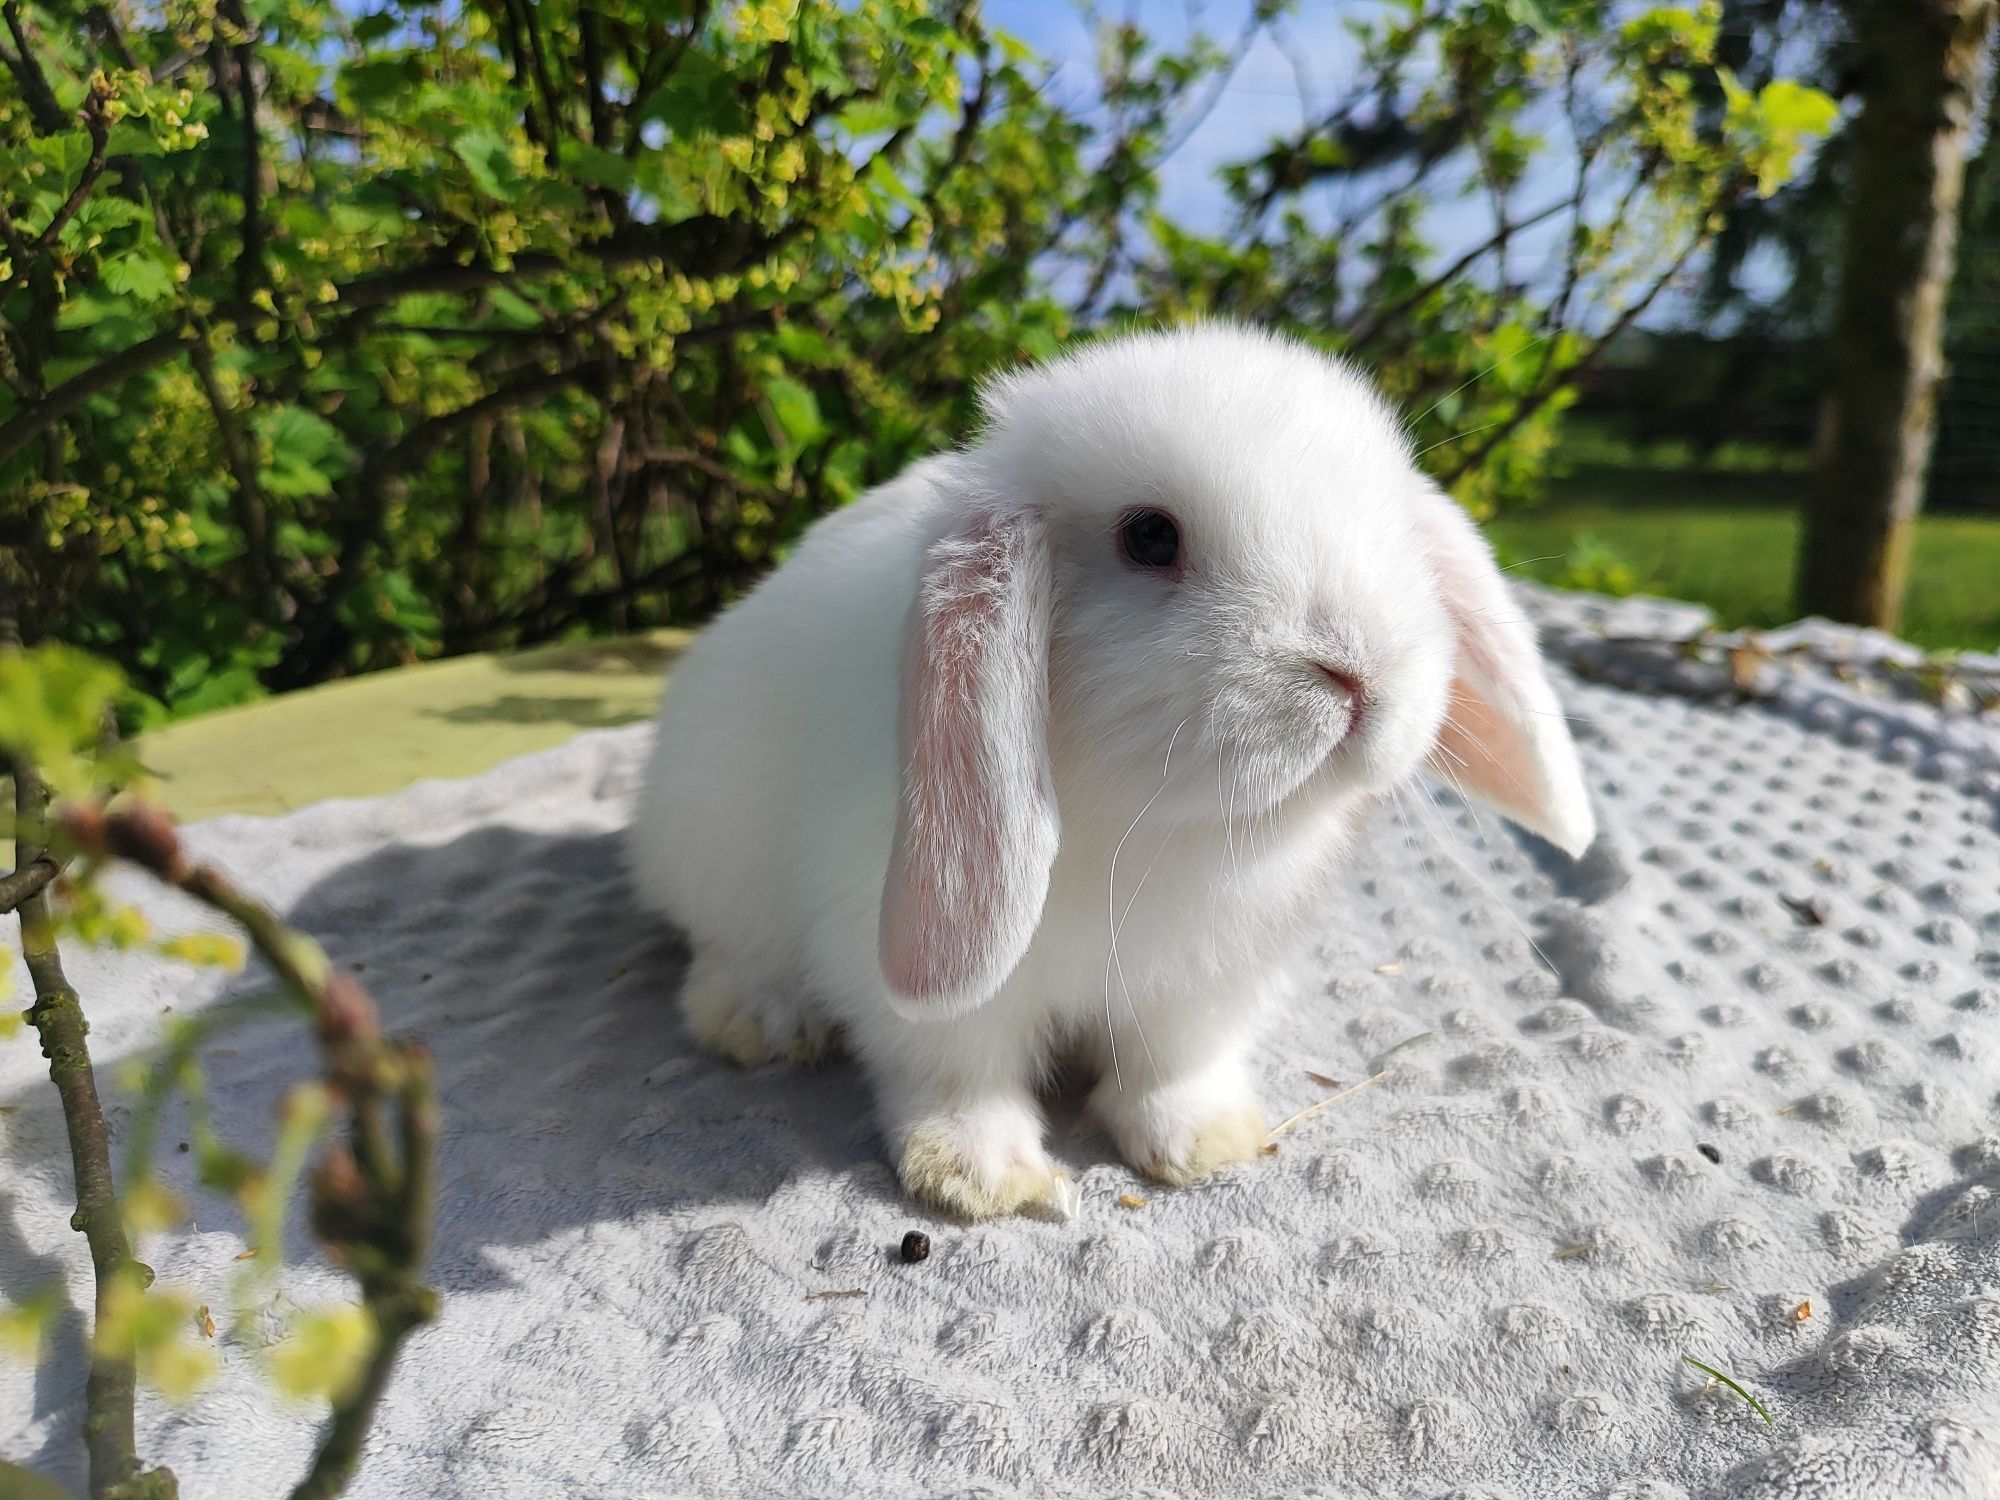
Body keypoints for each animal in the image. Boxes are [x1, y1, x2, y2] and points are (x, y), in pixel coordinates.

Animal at [624, 326, 1592, 1224]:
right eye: (1150, 537)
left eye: (1392, 528)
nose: (1359, 672)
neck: (1156, 826)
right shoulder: (913, 968)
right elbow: (955, 1070)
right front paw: (983, 1178)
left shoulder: (1206, 983)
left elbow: (1175, 1065)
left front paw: (1205, 1143)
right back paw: (757, 1020)